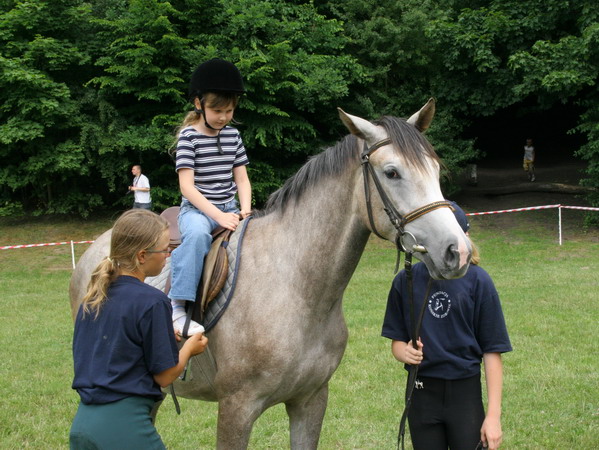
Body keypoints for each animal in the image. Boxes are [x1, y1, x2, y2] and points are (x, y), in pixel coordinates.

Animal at [70, 102, 472, 450]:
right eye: (391, 172)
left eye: (435, 170)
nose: (458, 251)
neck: (296, 288)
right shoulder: (236, 409)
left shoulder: (310, 401)